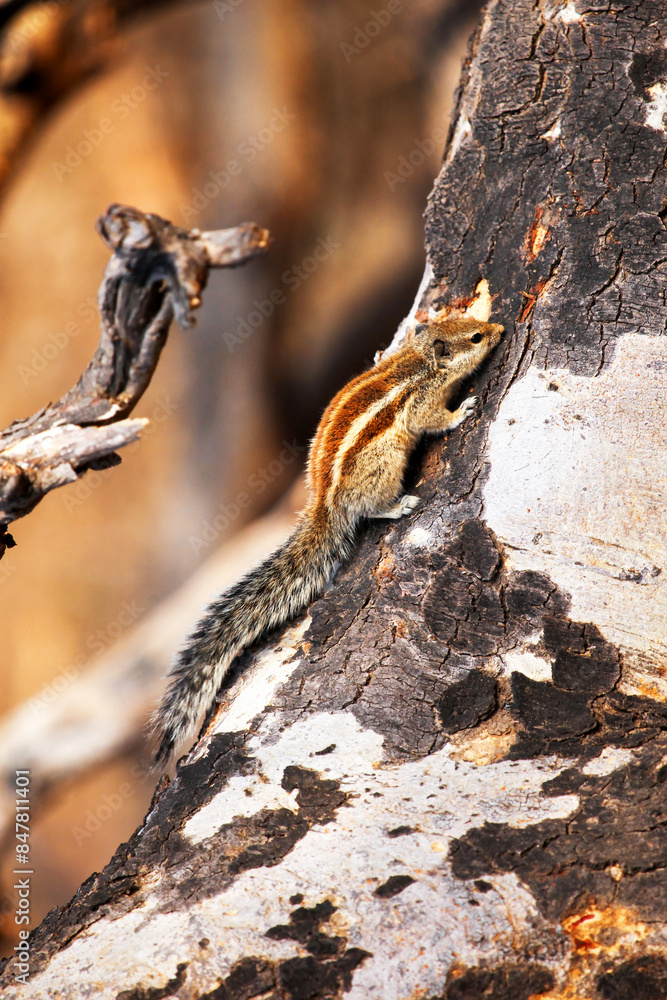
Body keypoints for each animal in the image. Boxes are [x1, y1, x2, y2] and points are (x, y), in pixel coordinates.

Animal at [153, 315, 504, 765]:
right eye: (475, 337)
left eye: (474, 322)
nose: (499, 330)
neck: (419, 363)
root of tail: (324, 505)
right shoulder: (421, 403)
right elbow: (434, 420)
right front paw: (461, 411)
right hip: (384, 466)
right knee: (369, 508)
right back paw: (397, 506)